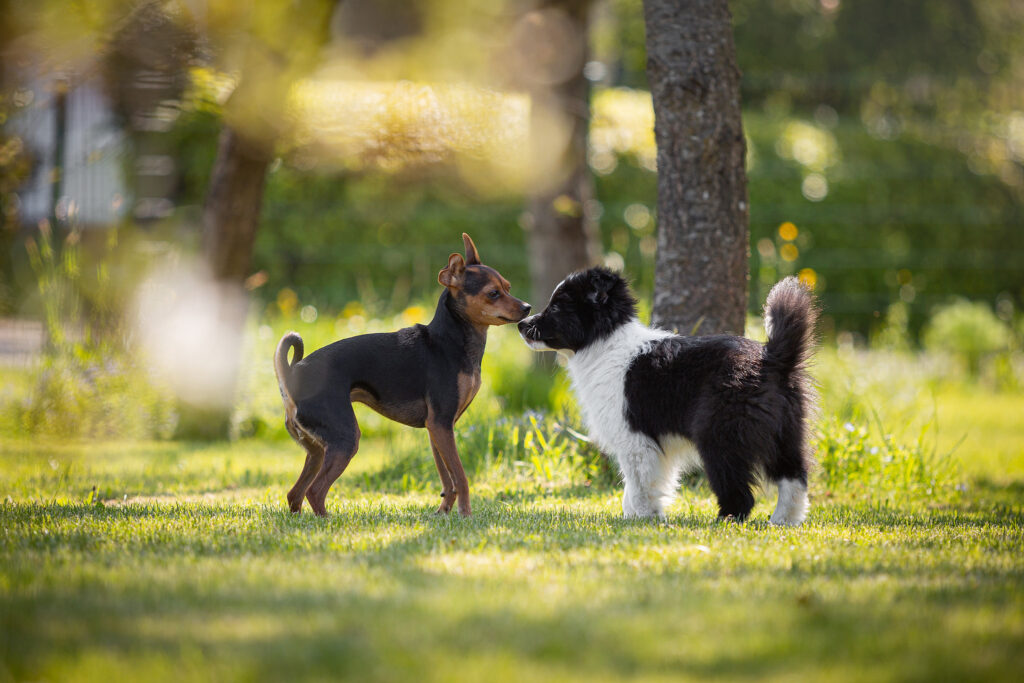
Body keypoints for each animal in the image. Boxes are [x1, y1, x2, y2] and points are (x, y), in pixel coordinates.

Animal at [274, 235, 528, 518]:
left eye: (508, 287)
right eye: (493, 294)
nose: (527, 308)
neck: (449, 342)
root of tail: (292, 375)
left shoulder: (438, 429)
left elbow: (447, 479)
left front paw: (443, 512)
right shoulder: (441, 424)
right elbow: (460, 477)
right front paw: (465, 515)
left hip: (317, 449)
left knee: (295, 494)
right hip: (345, 440)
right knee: (314, 492)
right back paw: (328, 520)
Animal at [520, 270, 815, 528]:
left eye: (557, 308)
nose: (522, 324)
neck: (605, 343)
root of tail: (772, 358)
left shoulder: (635, 438)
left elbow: (639, 483)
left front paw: (644, 518)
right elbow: (637, 485)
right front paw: (632, 516)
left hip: (719, 435)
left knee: (740, 492)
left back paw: (724, 522)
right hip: (786, 433)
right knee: (795, 479)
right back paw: (783, 521)